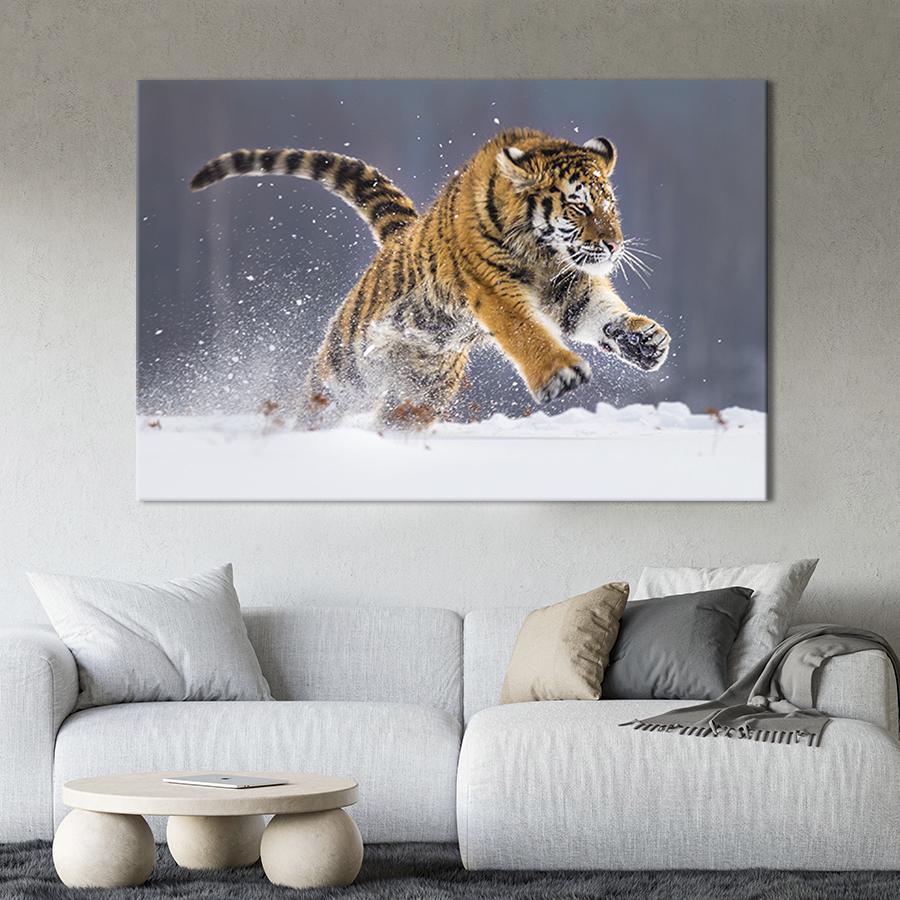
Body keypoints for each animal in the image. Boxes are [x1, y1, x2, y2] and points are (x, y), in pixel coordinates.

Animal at [190, 128, 670, 429]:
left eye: (610, 206)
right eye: (578, 206)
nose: (614, 245)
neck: (543, 252)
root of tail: (398, 235)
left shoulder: (569, 283)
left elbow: (600, 313)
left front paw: (645, 341)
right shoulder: (492, 287)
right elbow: (525, 330)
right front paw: (560, 374)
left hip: (420, 392)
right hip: (345, 371)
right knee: (318, 407)